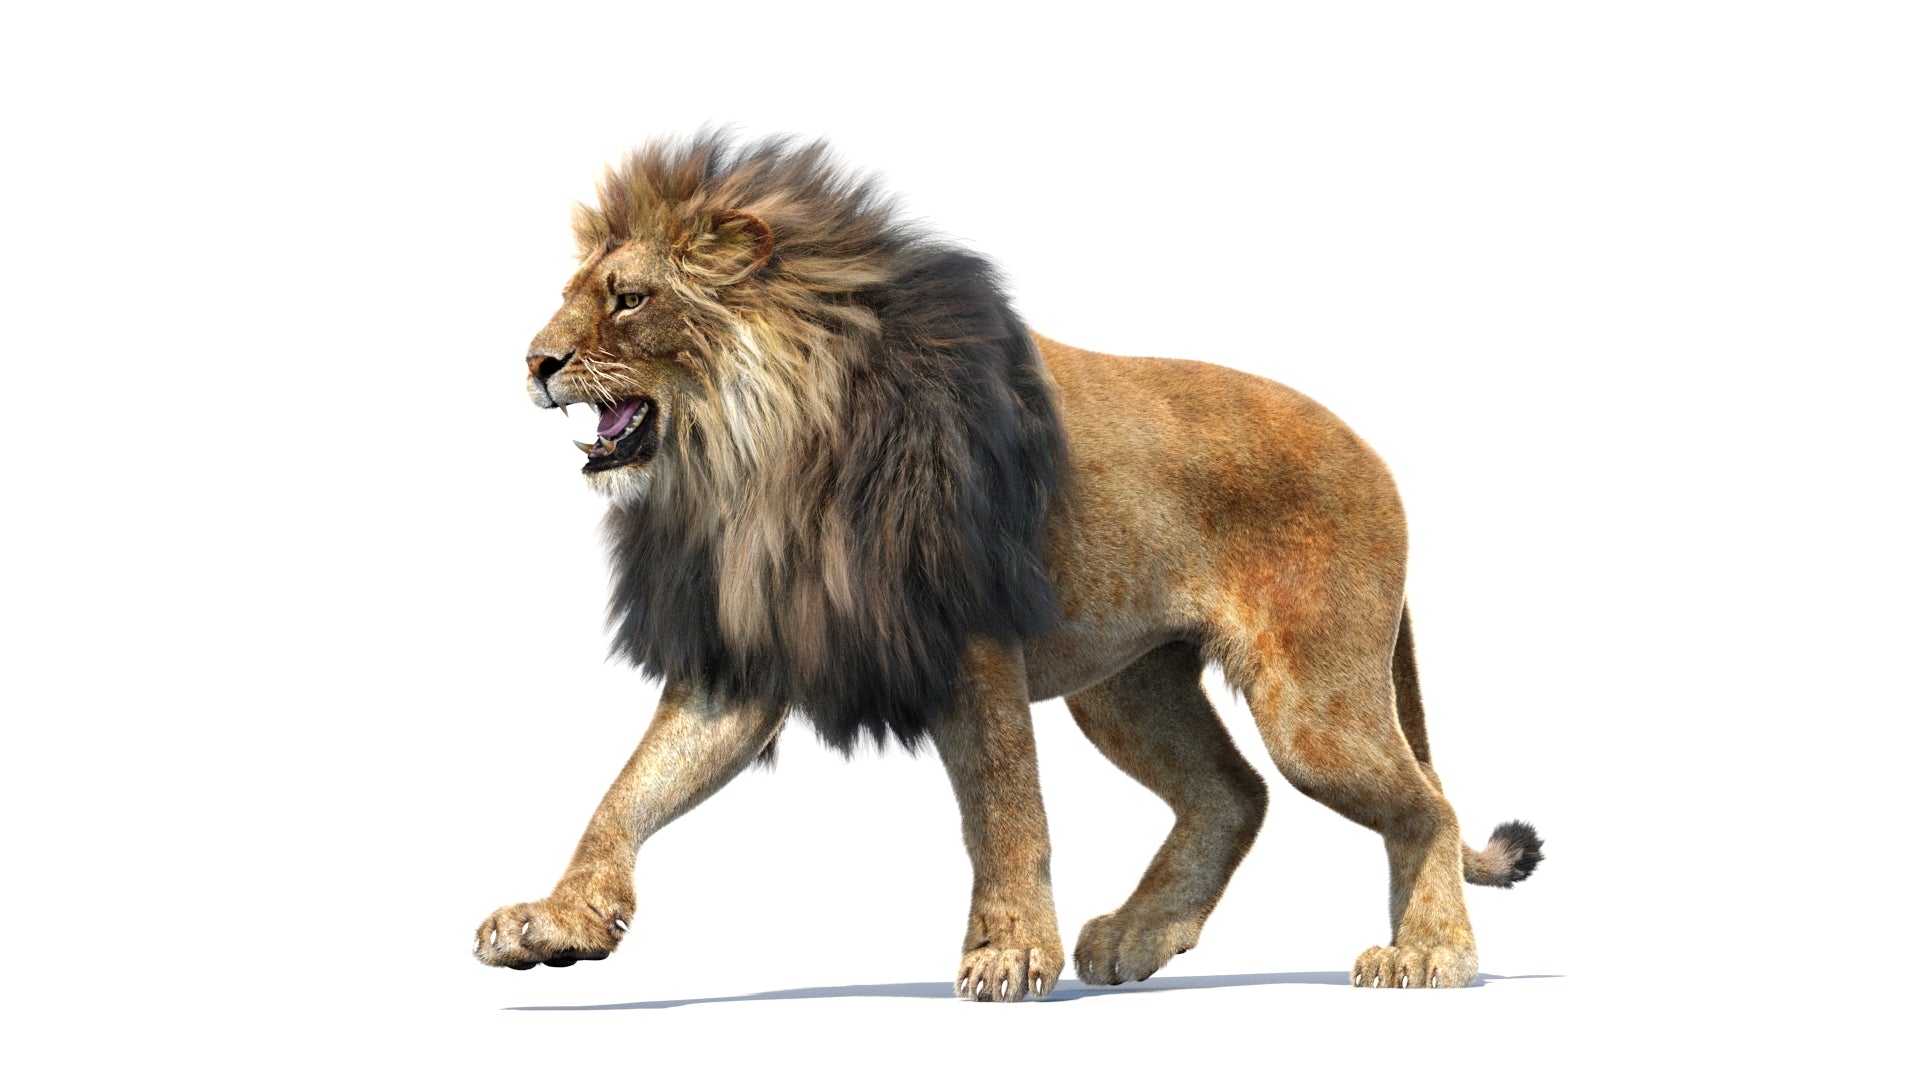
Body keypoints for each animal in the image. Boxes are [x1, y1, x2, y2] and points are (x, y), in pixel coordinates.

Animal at [473, 134, 1543, 999]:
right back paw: (1137, 938)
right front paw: (555, 923)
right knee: (1235, 795)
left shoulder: (967, 637)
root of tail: (1374, 453)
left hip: (1312, 703)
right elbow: (630, 789)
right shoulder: (743, 656)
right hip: (1127, 689)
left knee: (1425, 806)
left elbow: (1003, 806)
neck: (759, 458)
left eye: (629, 299)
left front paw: (1010, 953)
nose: (533, 363)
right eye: (571, 298)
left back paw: (1429, 956)